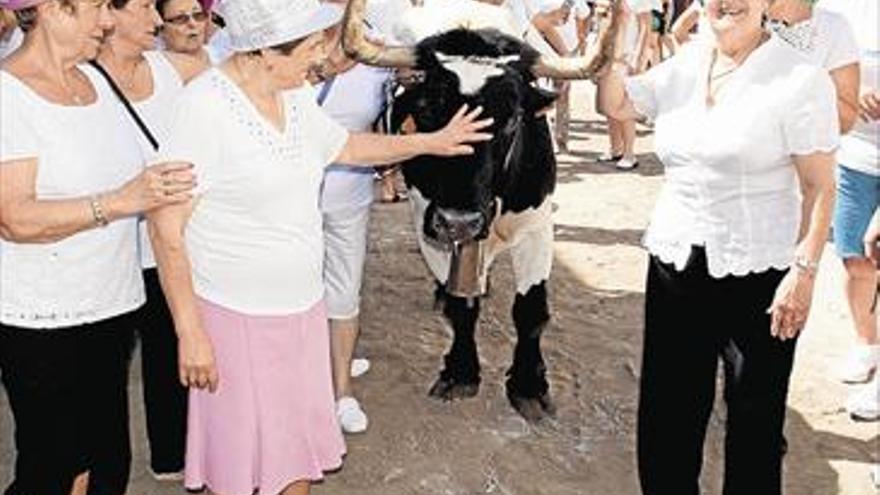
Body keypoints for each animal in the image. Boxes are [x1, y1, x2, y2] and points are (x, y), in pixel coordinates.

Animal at [340, 0, 624, 422]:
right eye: (427, 111)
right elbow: (462, 306)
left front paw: (529, 386)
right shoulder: (427, 219)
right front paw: (460, 372)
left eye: (513, 117)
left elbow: (531, 309)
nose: (459, 221)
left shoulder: (538, 226)